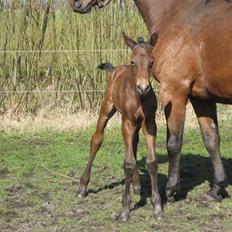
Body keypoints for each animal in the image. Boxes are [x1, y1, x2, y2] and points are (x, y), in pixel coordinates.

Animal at [71, 0, 231, 201]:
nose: (76, 4)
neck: (177, 12)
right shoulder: (201, 96)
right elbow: (211, 139)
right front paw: (216, 188)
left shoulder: (173, 91)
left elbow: (173, 143)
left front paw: (171, 189)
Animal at [77, 33, 162, 221]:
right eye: (133, 62)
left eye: (152, 62)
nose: (143, 87)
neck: (139, 98)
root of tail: (116, 68)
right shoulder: (127, 122)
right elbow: (128, 163)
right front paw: (124, 211)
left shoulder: (149, 123)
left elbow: (152, 162)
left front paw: (158, 207)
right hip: (107, 108)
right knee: (97, 139)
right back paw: (82, 186)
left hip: (135, 123)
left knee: (133, 143)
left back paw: (136, 185)